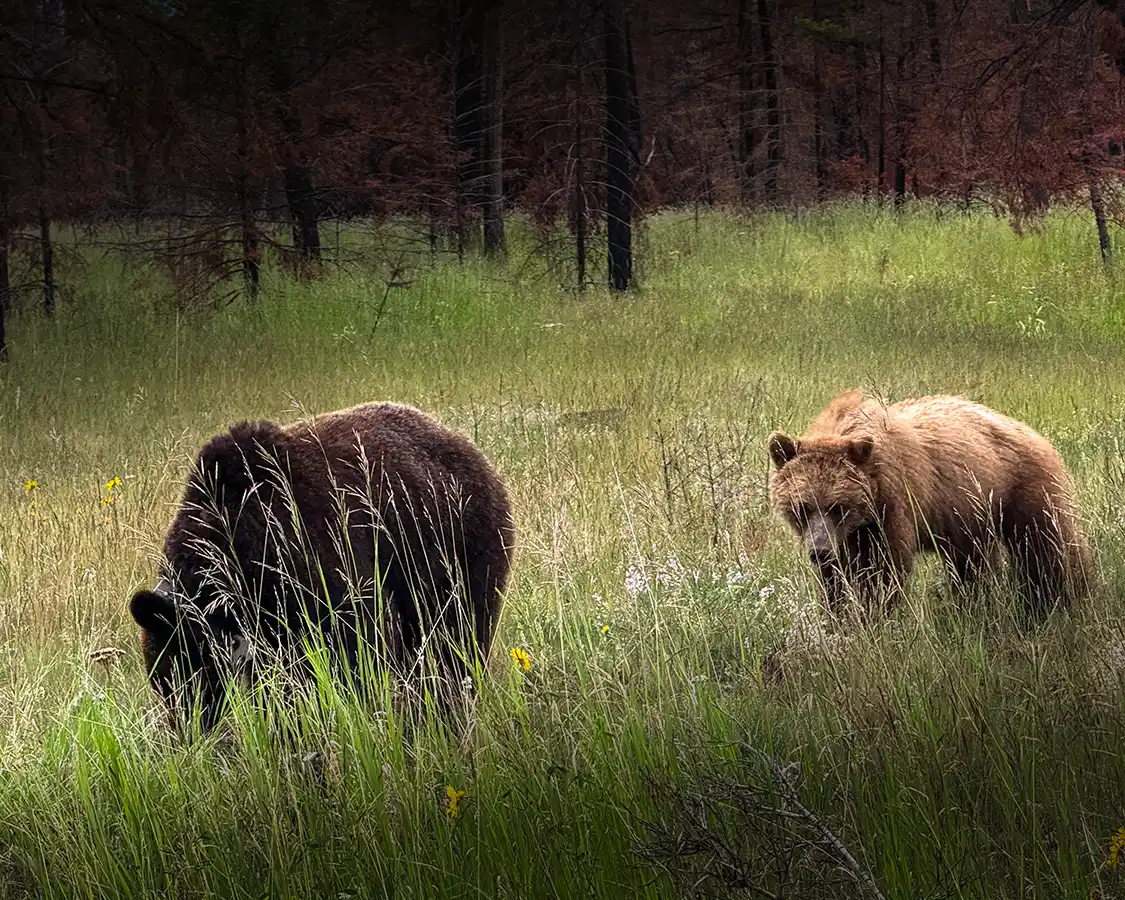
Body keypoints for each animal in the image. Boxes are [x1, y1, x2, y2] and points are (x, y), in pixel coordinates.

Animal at [128, 401, 515, 733]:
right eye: (161, 680)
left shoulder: (321, 560)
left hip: (463, 544)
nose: (187, 730)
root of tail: (465, 445)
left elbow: (357, 646)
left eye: (190, 674)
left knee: (461, 635)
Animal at [767, 389, 1090, 622]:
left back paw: (1064, 598)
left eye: (838, 506)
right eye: (803, 506)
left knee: (1047, 547)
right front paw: (836, 616)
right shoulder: (849, 533)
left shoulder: (892, 505)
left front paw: (874, 615)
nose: (819, 551)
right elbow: (835, 578)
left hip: (1024, 488)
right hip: (972, 515)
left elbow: (884, 569)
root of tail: (1033, 432)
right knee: (972, 565)